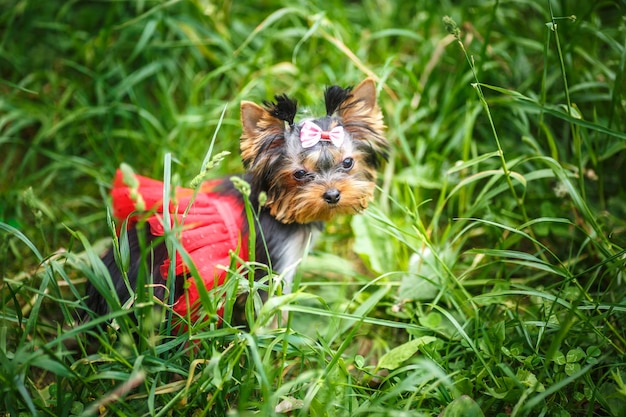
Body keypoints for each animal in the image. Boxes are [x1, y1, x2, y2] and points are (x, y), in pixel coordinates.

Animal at [85, 78, 388, 324]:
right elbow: (273, 311)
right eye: (300, 174)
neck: (277, 206)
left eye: (348, 163)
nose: (333, 195)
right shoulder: (275, 265)